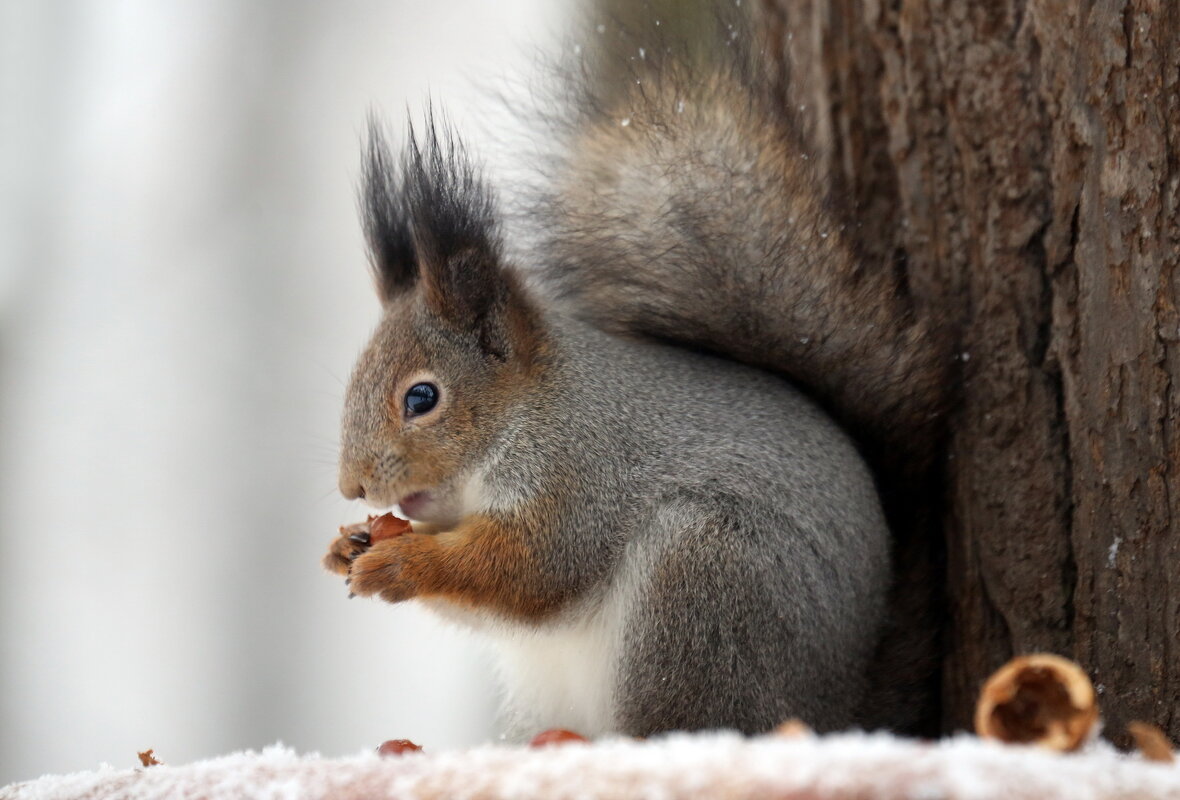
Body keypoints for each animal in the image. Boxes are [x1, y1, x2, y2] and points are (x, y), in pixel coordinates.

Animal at [323, 12, 948, 741]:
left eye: (422, 397)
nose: (353, 486)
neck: (531, 413)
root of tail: (840, 710)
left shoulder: (581, 478)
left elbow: (530, 571)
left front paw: (402, 561)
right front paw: (347, 545)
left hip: (701, 590)